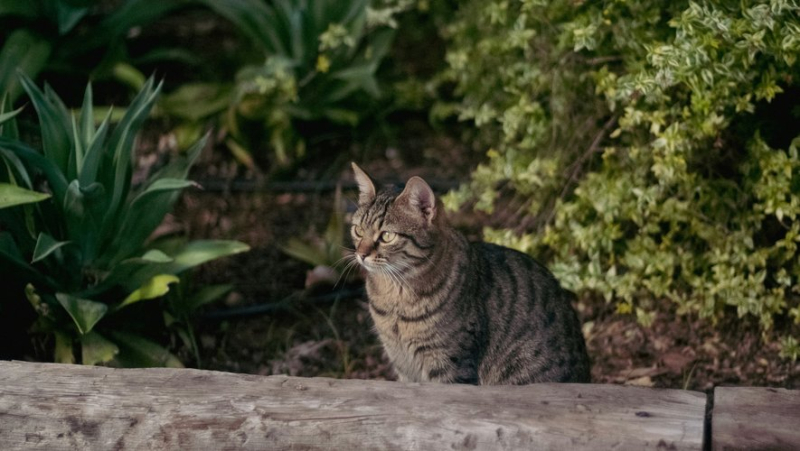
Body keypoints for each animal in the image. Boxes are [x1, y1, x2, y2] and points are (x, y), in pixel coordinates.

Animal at [354, 164, 592, 386]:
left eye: (387, 236)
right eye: (358, 230)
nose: (361, 254)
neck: (395, 295)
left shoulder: (449, 364)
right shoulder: (402, 365)